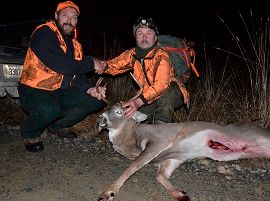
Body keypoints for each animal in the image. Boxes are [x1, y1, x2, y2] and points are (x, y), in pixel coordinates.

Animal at [96, 74, 268, 201]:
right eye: (104, 110)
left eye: (119, 111)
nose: (100, 119)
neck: (132, 138)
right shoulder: (173, 158)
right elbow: (159, 175)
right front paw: (181, 194)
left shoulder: (159, 141)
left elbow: (133, 165)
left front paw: (107, 193)